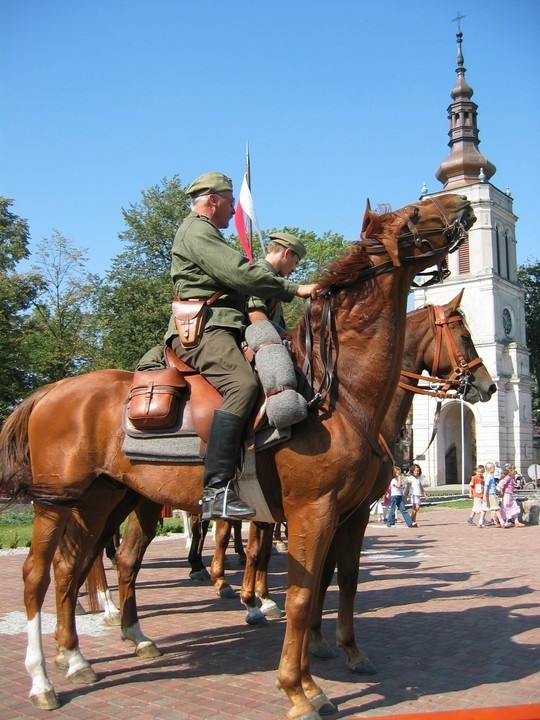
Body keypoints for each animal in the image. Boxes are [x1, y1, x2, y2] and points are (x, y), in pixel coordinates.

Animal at [0, 194, 472, 716]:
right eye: (413, 213)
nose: (462, 202)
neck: (338, 393)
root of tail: (50, 391)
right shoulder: (312, 511)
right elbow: (301, 594)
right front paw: (297, 687)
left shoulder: (351, 514)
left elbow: (340, 580)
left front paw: (333, 662)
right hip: (55, 501)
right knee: (37, 575)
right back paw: (43, 679)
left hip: (100, 498)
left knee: (77, 566)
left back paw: (82, 655)